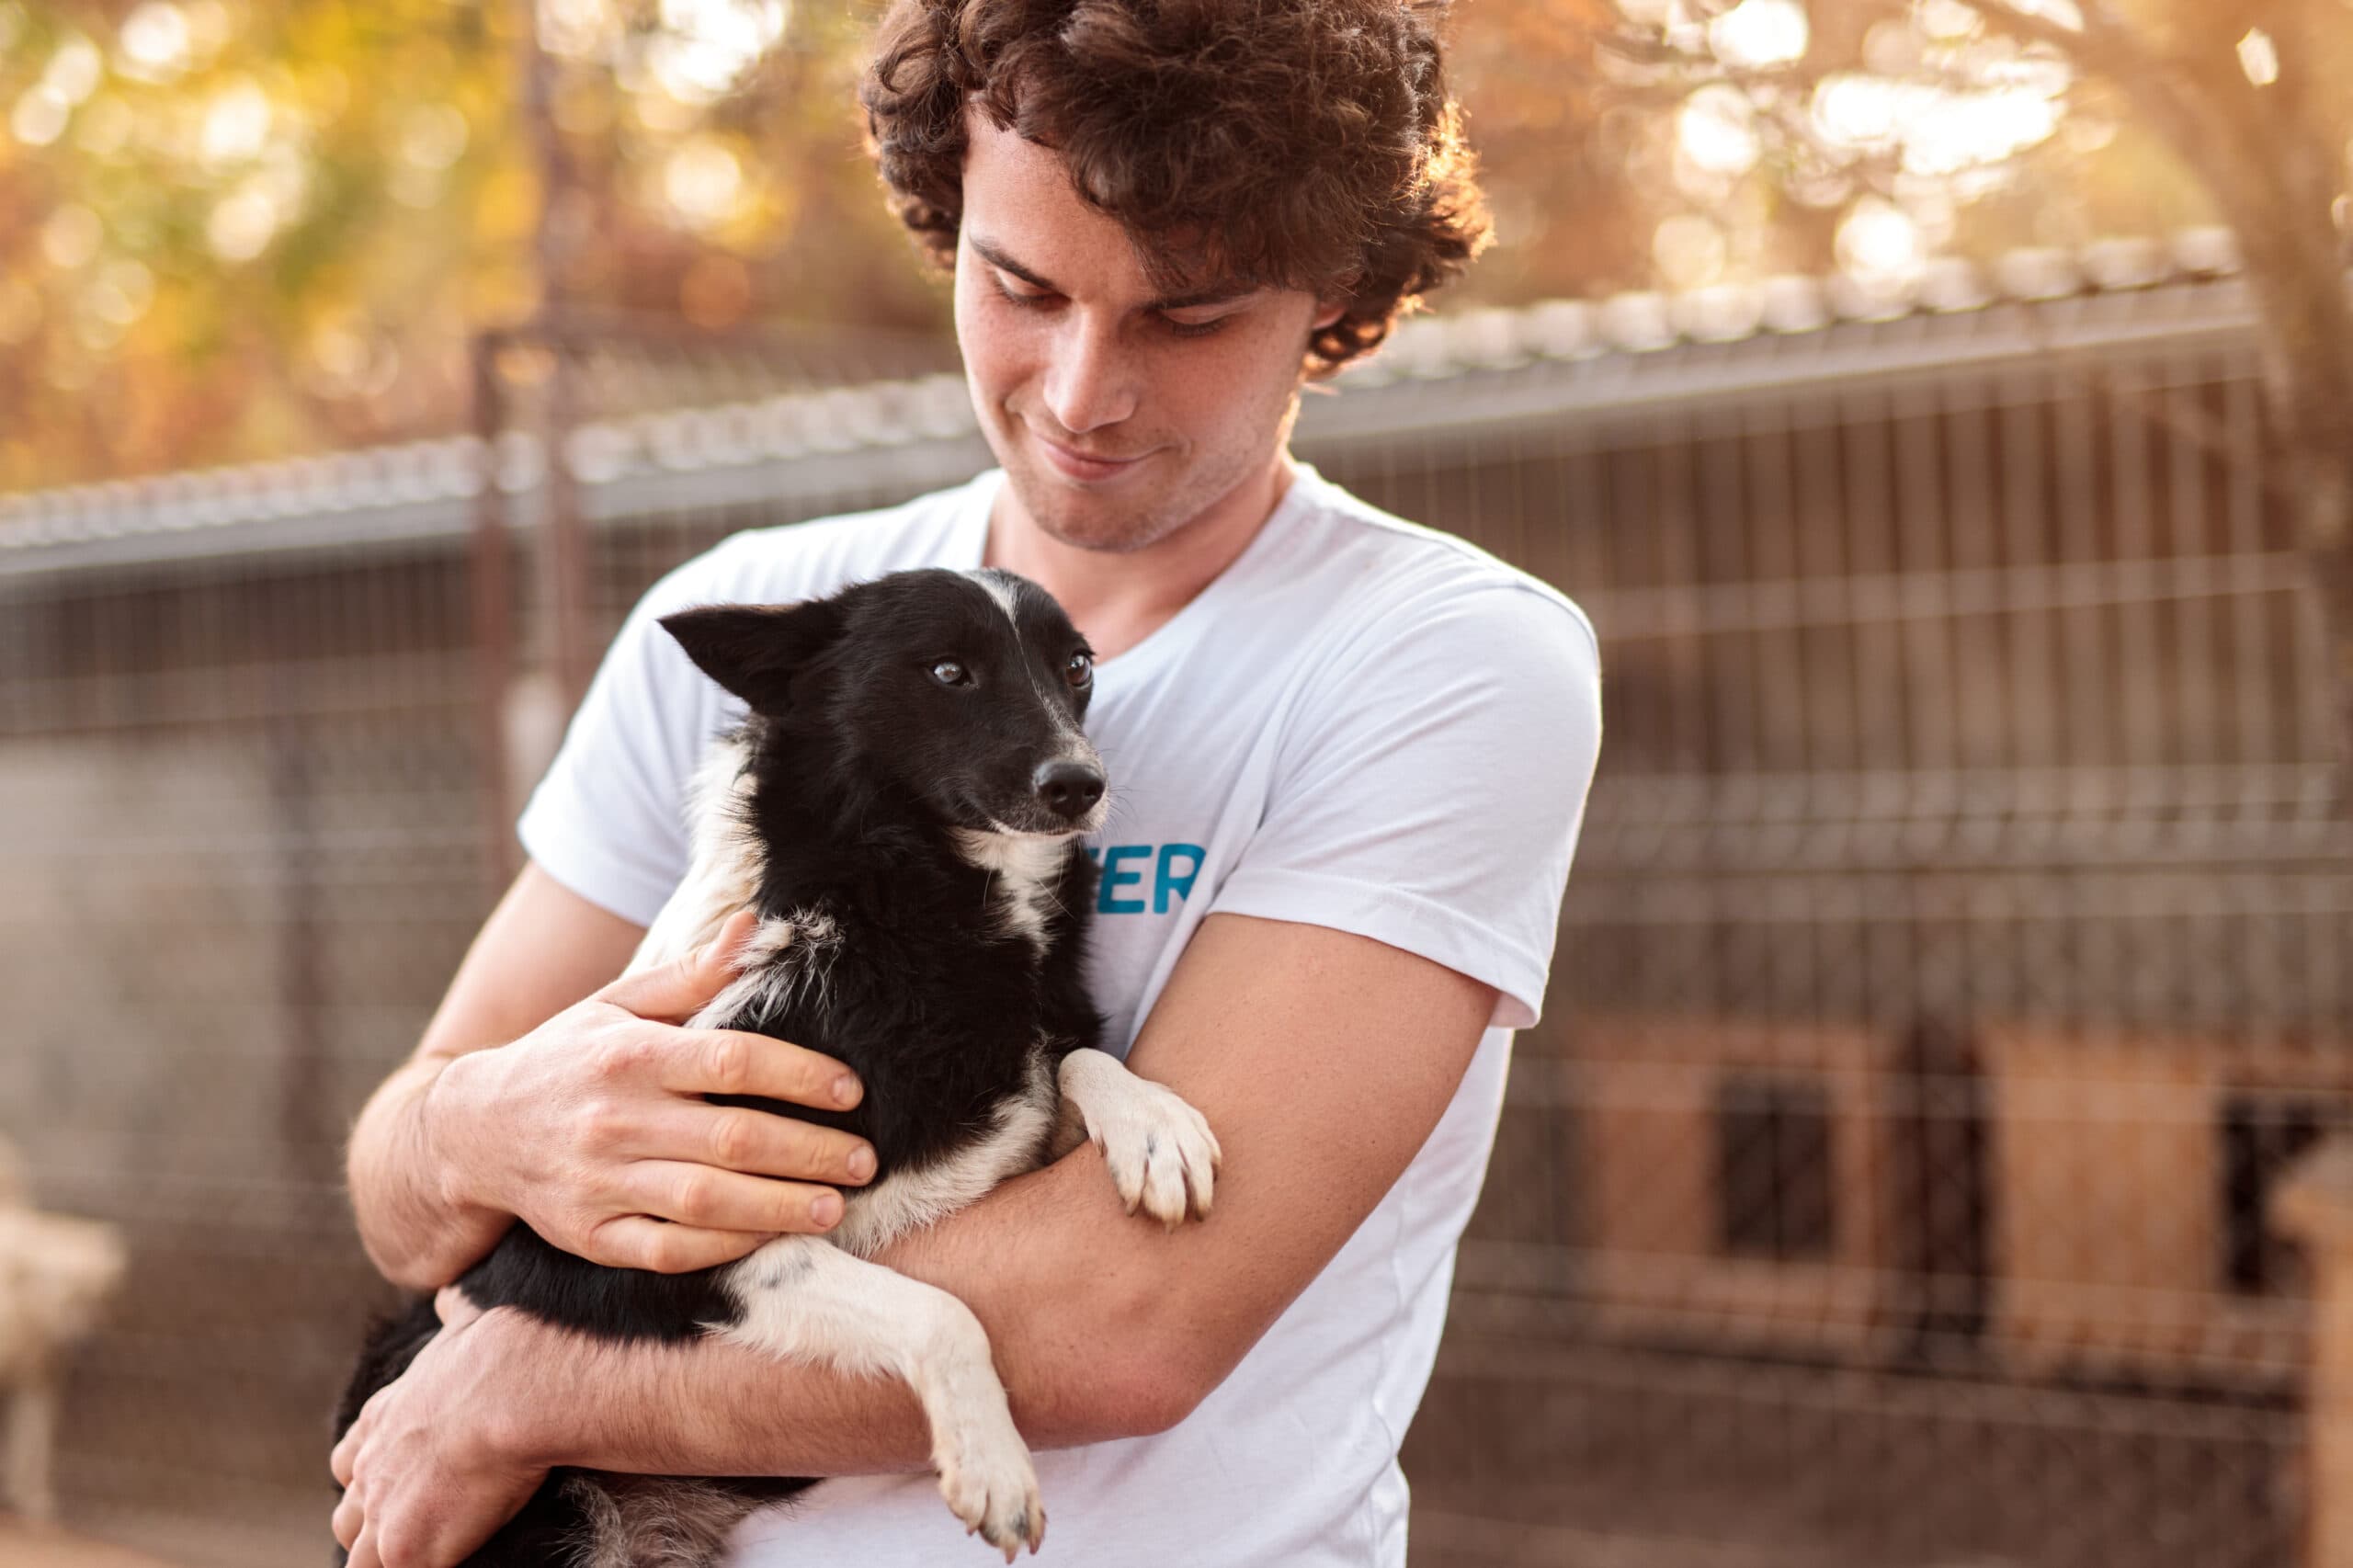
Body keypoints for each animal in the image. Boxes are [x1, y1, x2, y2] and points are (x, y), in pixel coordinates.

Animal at [343, 567, 1233, 1562]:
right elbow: (940, 1311)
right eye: (947, 669)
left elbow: (1077, 1057)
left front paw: (1153, 1125)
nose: (1079, 782)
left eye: (1075, 665)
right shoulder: (661, 1252)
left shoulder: (1020, 1099)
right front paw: (993, 1463)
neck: (910, 911)